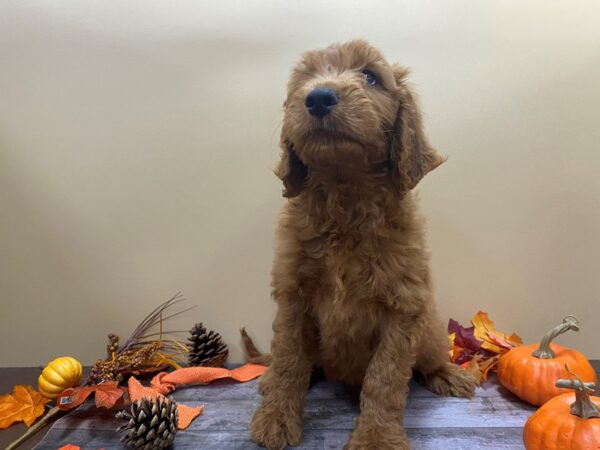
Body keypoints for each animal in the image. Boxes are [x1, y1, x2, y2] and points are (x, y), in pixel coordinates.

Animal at [246, 39, 476, 450]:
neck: (345, 193)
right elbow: (289, 358)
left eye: (370, 76)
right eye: (304, 79)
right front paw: (276, 418)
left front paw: (376, 438)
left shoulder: (404, 305)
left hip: (431, 329)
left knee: (429, 359)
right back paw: (270, 380)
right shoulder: (292, 296)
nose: (318, 97)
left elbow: (385, 378)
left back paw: (448, 374)